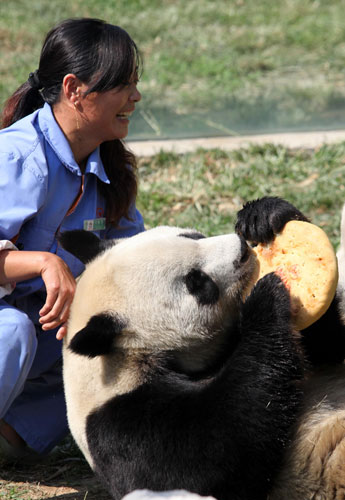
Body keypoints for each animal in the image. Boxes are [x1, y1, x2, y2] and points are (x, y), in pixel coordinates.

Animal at [59, 225, 304, 498]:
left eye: (192, 236)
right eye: (195, 281)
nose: (241, 248)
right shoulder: (123, 422)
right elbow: (208, 457)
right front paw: (266, 296)